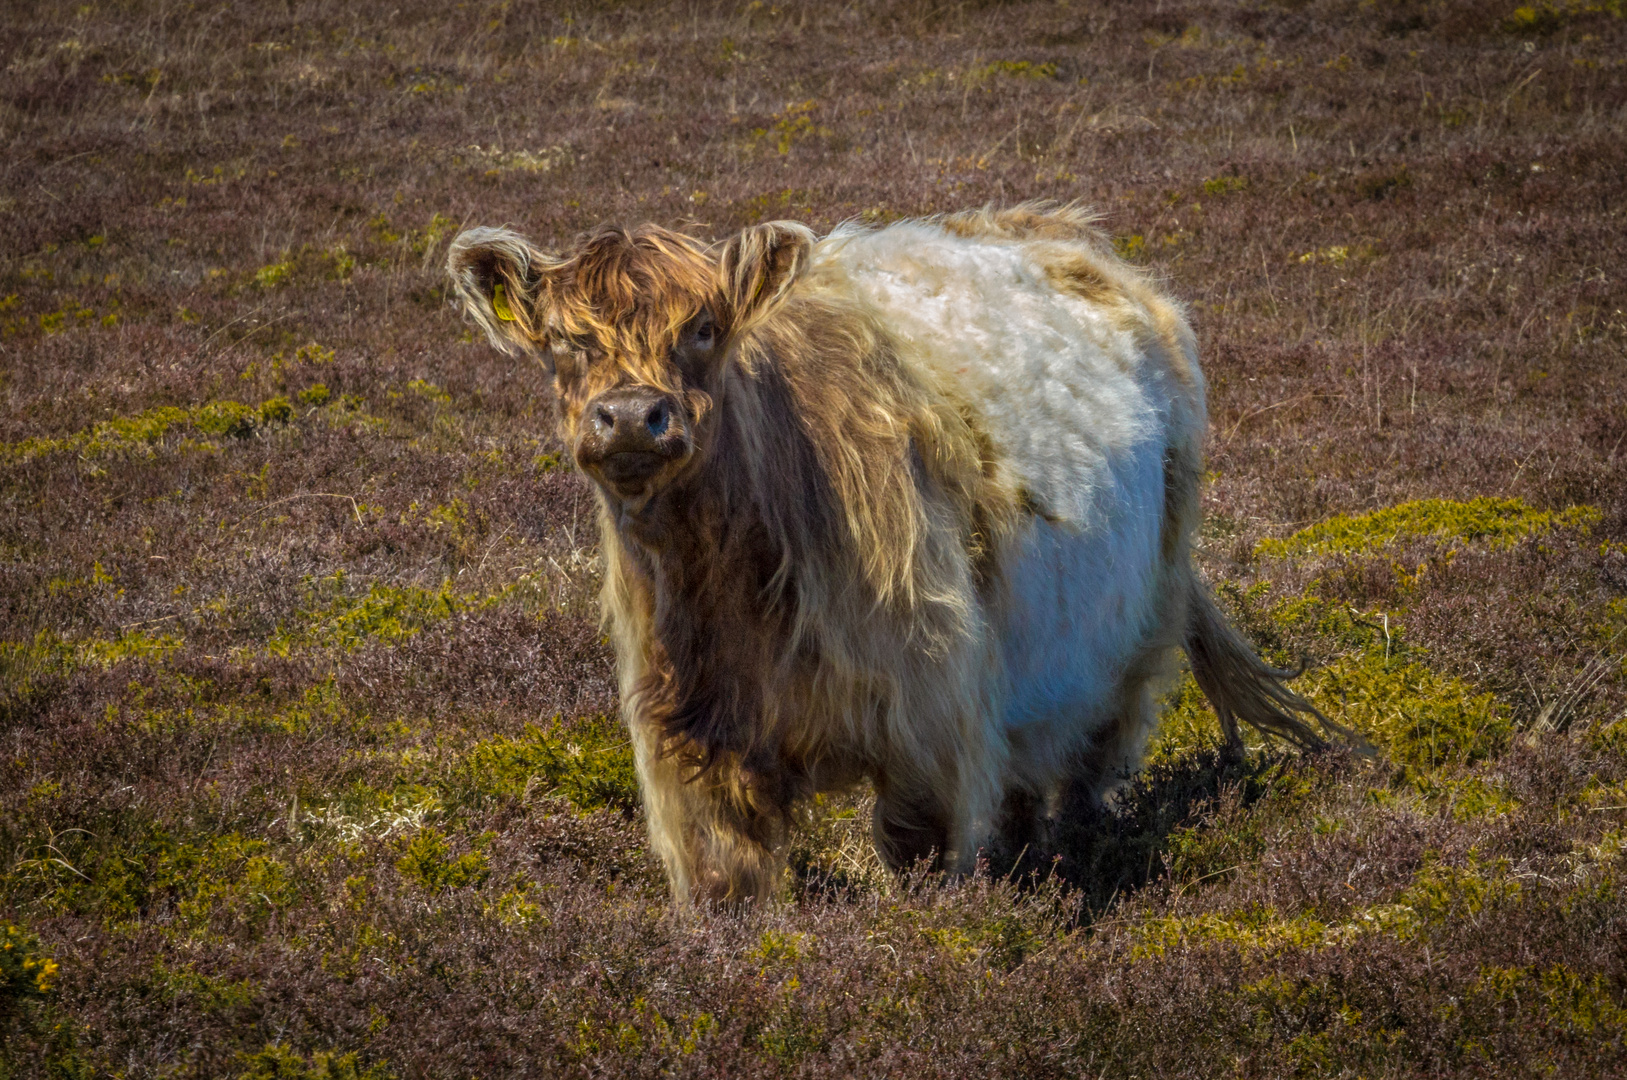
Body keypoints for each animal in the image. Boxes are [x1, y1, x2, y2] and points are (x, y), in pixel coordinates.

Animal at [449, 200, 1334, 904]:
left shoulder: (928, 718)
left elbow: (917, 852)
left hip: (1136, 623)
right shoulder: (692, 742)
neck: (725, 591)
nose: (632, 416)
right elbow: (725, 883)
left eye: (703, 329)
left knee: (1089, 760)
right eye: (565, 342)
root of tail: (1071, 235)